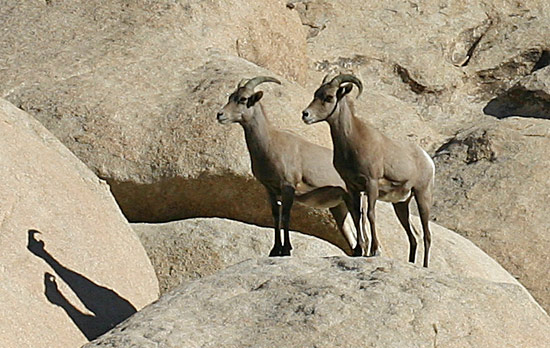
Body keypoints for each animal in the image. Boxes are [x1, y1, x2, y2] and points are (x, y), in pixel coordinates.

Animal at [218, 75, 360, 256]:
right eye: (230, 97)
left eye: (243, 99)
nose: (220, 115)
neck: (270, 144)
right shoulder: (271, 190)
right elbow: (276, 216)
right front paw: (275, 250)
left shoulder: (287, 187)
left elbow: (285, 216)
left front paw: (286, 250)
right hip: (339, 206)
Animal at [302, 73, 436, 266]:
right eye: (315, 94)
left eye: (329, 97)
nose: (305, 115)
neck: (353, 142)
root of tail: (427, 159)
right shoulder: (353, 187)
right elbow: (357, 216)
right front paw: (359, 251)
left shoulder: (371, 183)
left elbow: (371, 215)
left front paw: (375, 251)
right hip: (400, 204)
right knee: (413, 237)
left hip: (422, 195)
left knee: (427, 235)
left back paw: (425, 266)